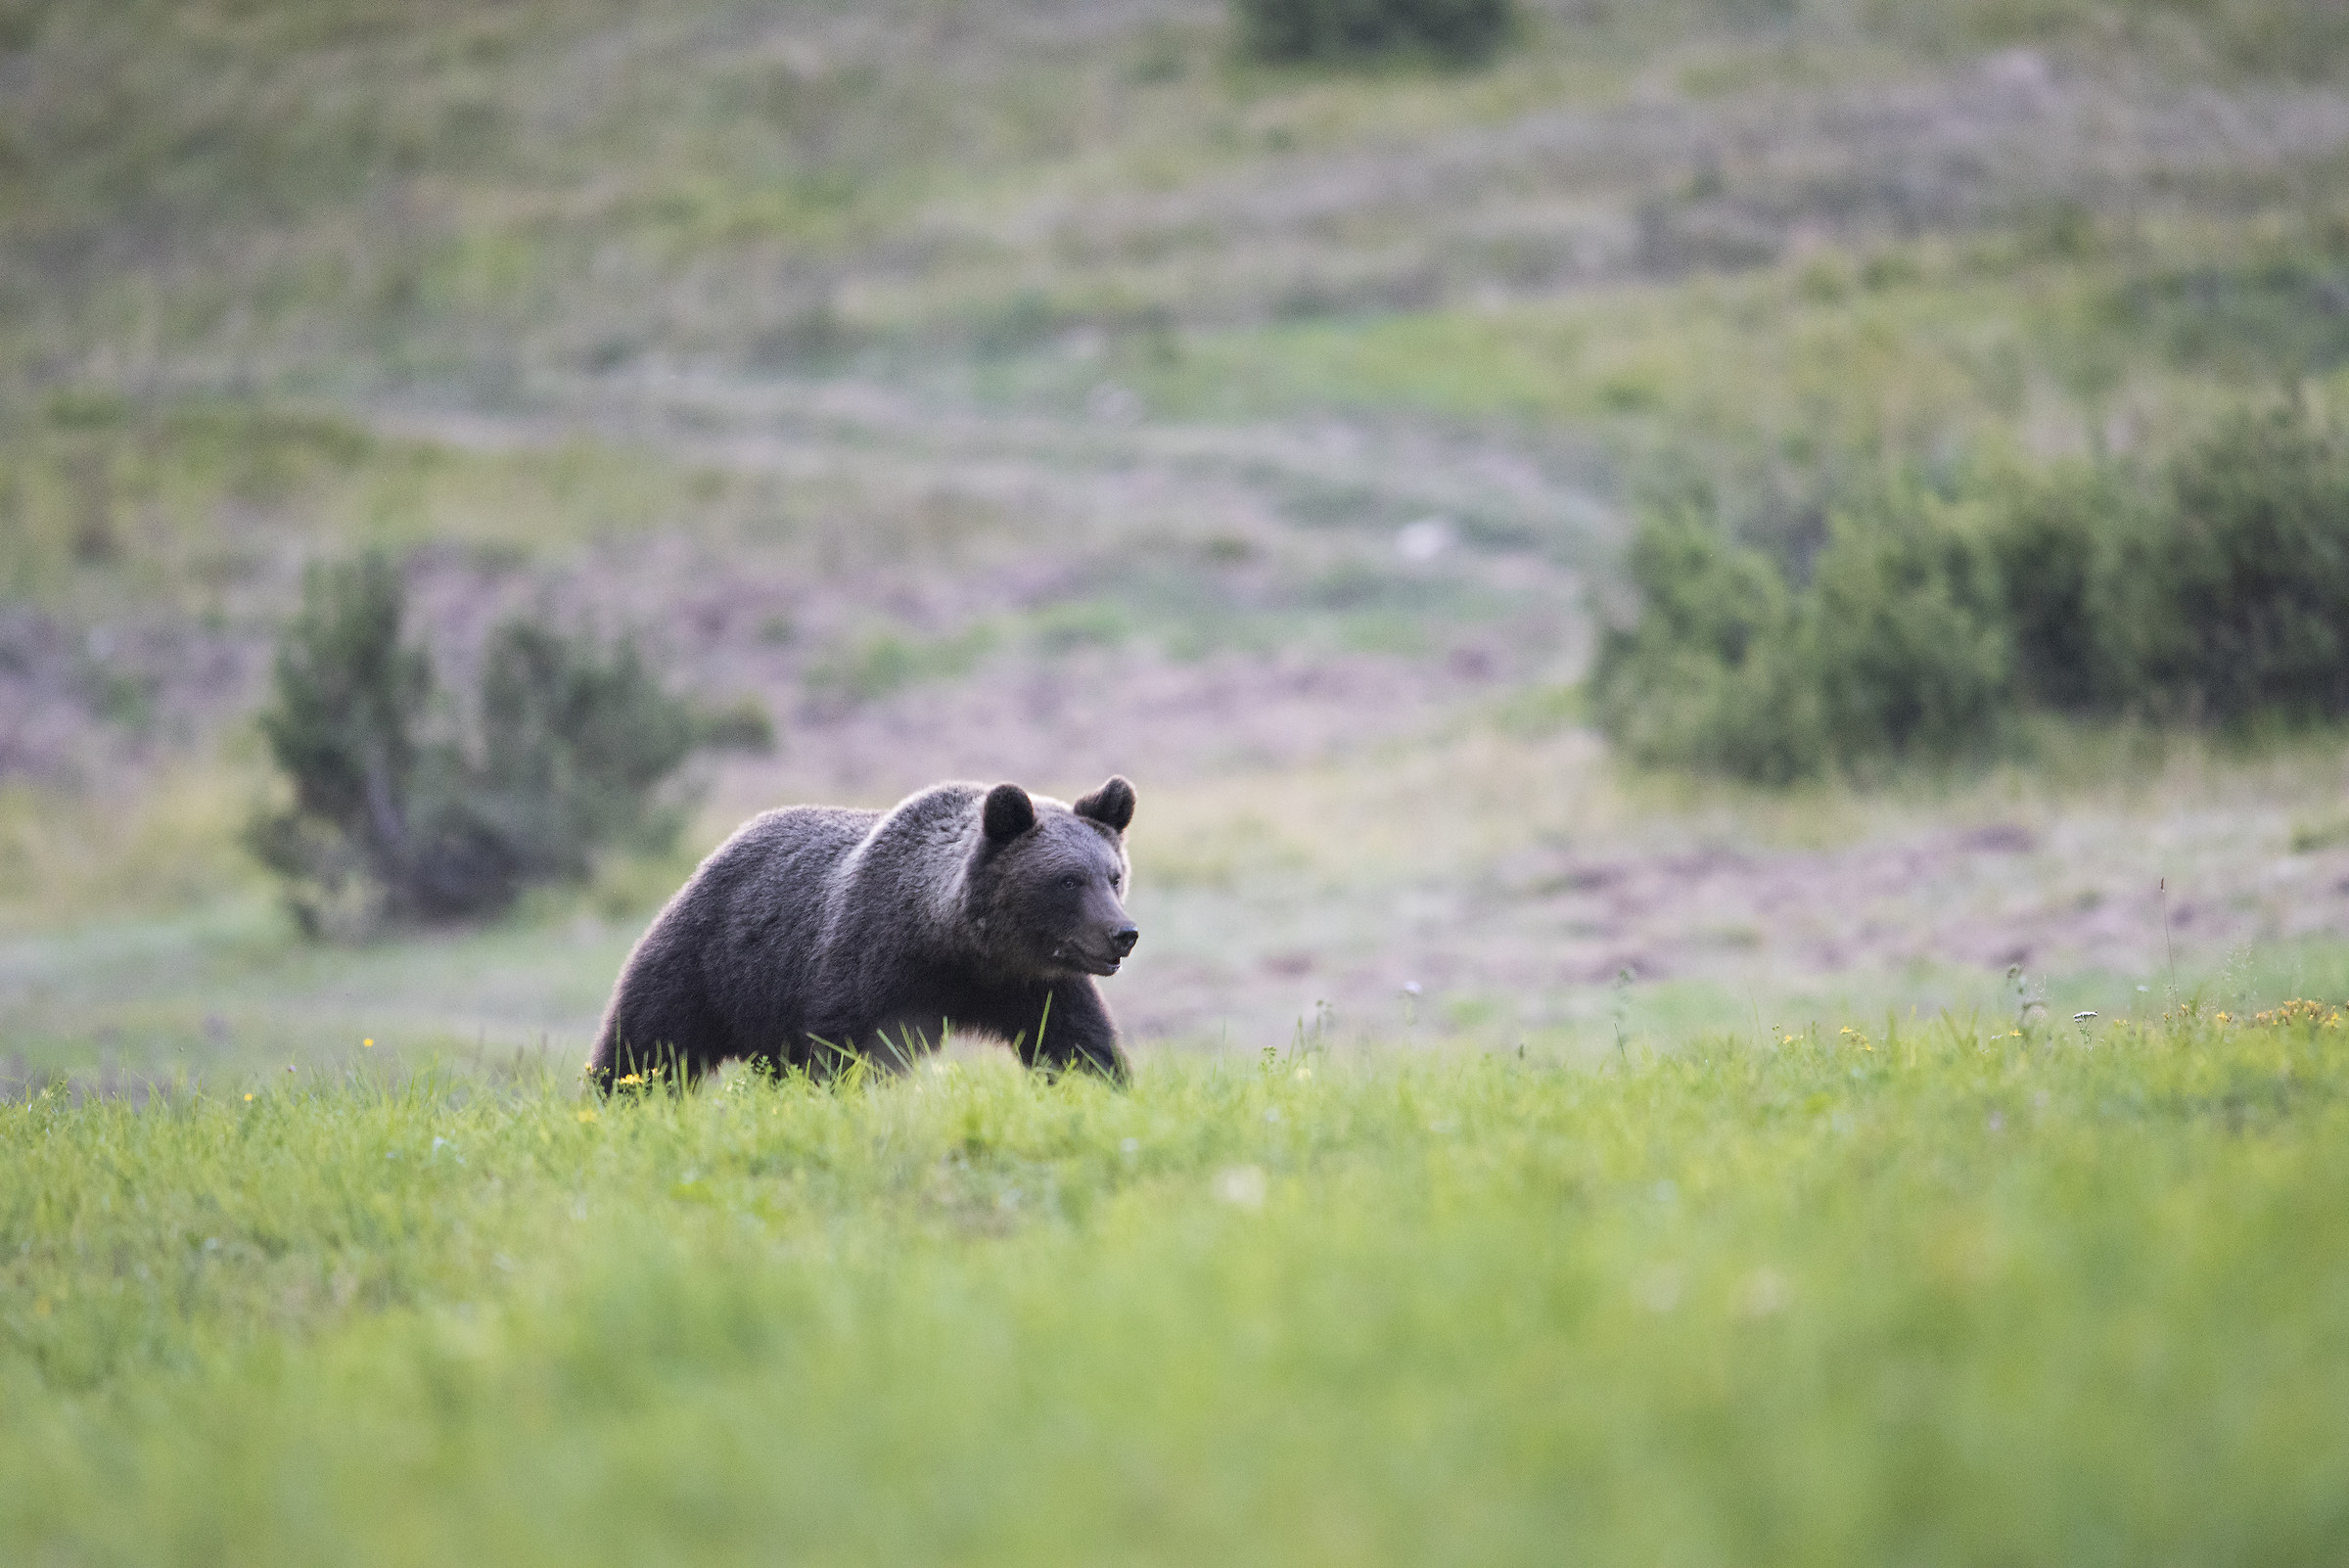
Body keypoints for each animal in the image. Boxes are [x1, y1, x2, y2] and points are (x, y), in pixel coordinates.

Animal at [587, 775, 1139, 1089]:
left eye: (1113, 876)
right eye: (1068, 880)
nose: (1123, 933)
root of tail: (717, 852)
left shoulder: (1035, 985)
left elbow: (1077, 1044)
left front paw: (1104, 1087)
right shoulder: (874, 960)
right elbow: (848, 1049)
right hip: (707, 964)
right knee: (647, 1045)